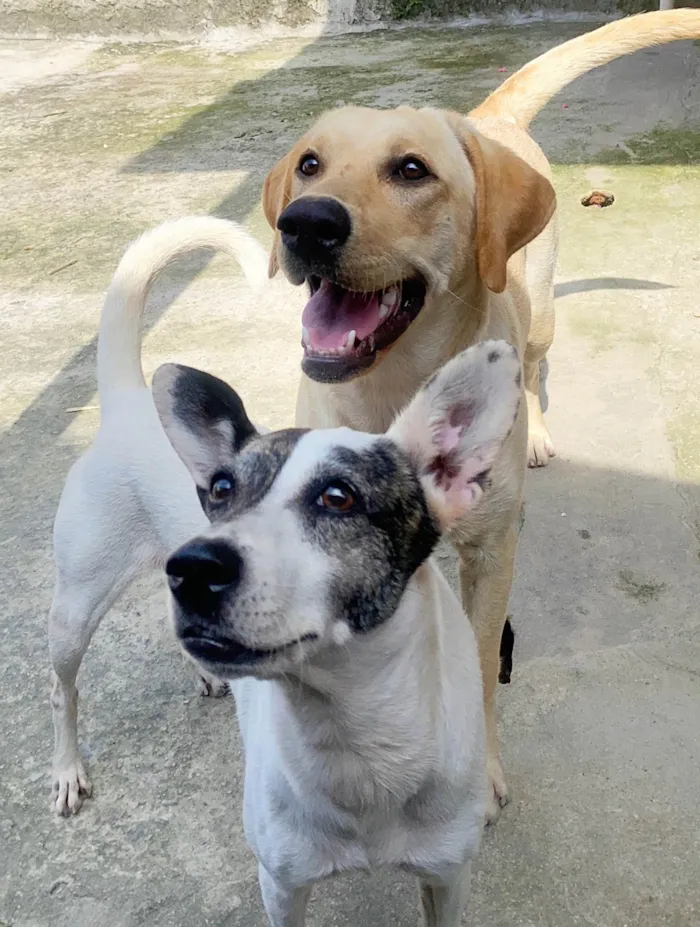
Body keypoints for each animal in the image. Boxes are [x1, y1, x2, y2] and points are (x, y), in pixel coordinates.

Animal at [154, 338, 524, 927]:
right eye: (221, 488)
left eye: (337, 496)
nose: (192, 567)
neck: (356, 740)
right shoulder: (282, 886)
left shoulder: (447, 876)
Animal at [260, 10, 696, 824]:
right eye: (309, 164)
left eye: (410, 170)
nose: (305, 223)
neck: (395, 392)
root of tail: (486, 118)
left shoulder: (493, 554)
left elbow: (486, 666)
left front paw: (479, 773)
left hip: (543, 313)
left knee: (535, 365)